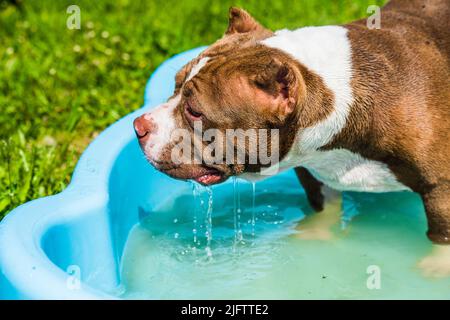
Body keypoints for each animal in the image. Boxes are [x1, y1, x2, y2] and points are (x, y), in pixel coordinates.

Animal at [134, 0, 450, 276]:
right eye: (175, 84)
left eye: (194, 111)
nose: (139, 125)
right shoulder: (312, 168)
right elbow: (323, 202)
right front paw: (314, 233)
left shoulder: (441, 186)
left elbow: (441, 233)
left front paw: (437, 268)